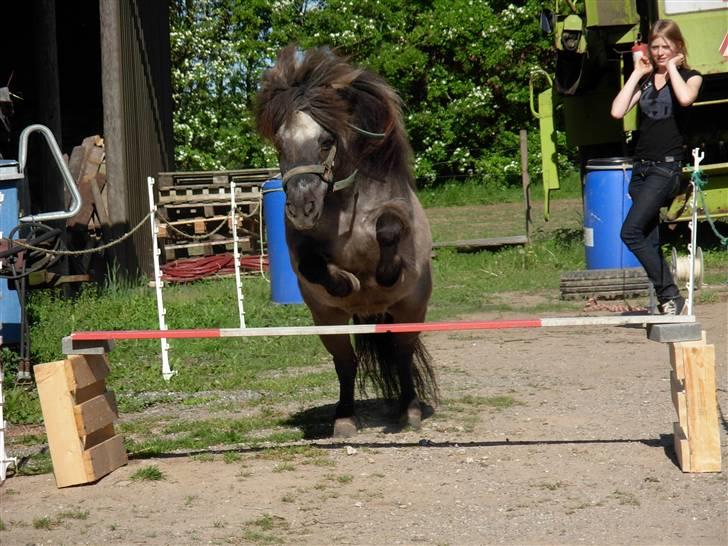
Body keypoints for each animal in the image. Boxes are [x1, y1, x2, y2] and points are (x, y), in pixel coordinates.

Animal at [258, 47, 438, 438]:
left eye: (326, 141)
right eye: (280, 145)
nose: (301, 207)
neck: (346, 208)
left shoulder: (396, 216)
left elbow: (388, 229)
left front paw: (381, 275)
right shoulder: (302, 250)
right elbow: (314, 265)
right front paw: (349, 283)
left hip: (409, 311)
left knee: (402, 355)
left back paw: (409, 410)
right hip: (329, 322)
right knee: (345, 363)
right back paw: (344, 417)